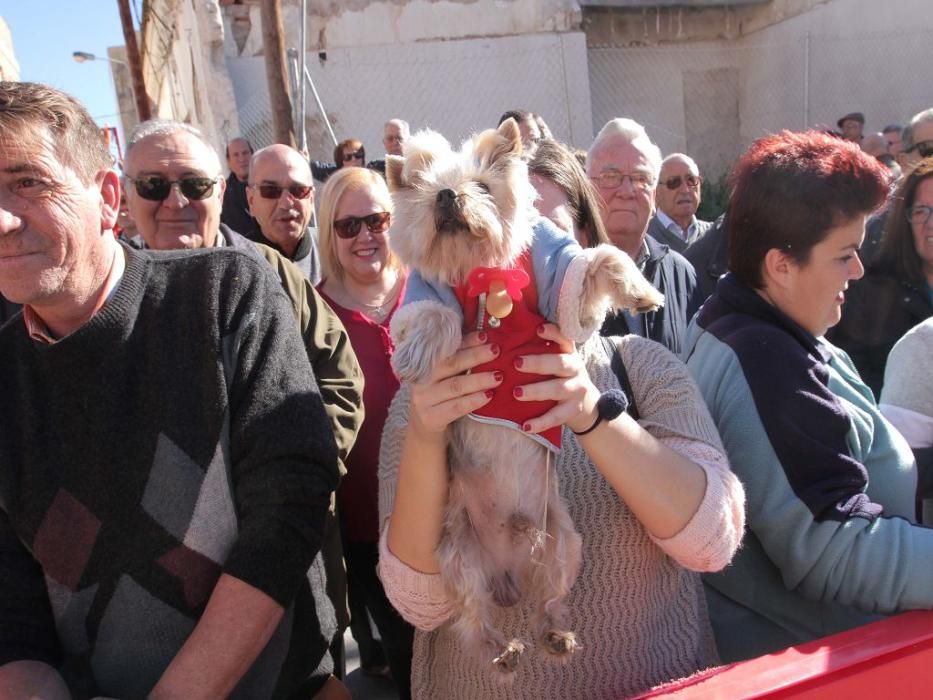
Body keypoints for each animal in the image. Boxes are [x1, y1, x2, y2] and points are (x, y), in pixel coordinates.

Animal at [382, 117, 660, 676]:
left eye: (483, 187)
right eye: (429, 194)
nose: (448, 195)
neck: (484, 269)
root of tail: (508, 574)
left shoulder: (562, 284)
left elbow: (598, 260)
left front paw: (640, 291)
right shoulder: (428, 291)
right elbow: (433, 314)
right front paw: (417, 354)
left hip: (563, 544)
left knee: (551, 599)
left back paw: (555, 637)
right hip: (459, 556)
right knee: (472, 617)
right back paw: (503, 653)